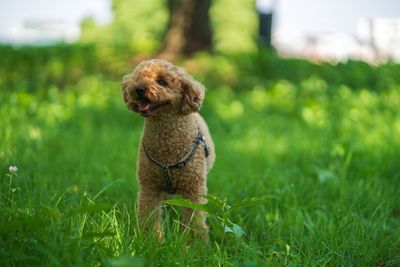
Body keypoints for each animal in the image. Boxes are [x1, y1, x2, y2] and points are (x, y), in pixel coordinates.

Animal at [122, 58, 216, 241]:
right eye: (139, 78)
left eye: (161, 81)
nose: (139, 89)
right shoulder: (149, 187)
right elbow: (149, 216)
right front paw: (151, 240)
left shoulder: (194, 189)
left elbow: (195, 220)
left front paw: (196, 243)